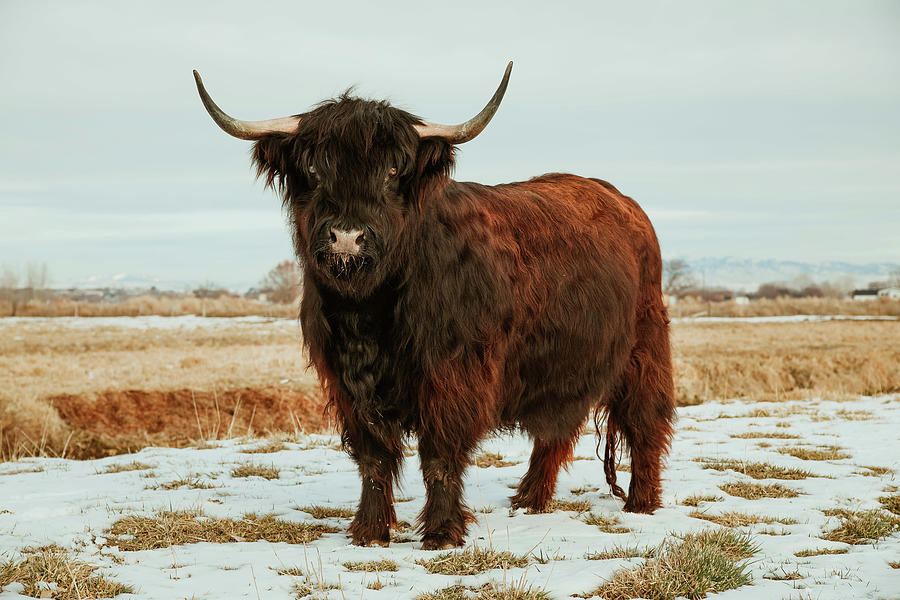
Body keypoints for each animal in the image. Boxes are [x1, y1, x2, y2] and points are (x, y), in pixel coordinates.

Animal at [197, 64, 676, 548]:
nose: (347, 236)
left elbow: (440, 457)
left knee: (645, 422)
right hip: (565, 367)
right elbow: (373, 458)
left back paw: (641, 503)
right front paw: (369, 531)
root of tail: (622, 201)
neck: (369, 312)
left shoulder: (453, 375)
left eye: (392, 168)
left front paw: (442, 533)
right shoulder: (347, 385)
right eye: (314, 166)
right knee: (557, 432)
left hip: (643, 349)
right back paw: (529, 501)